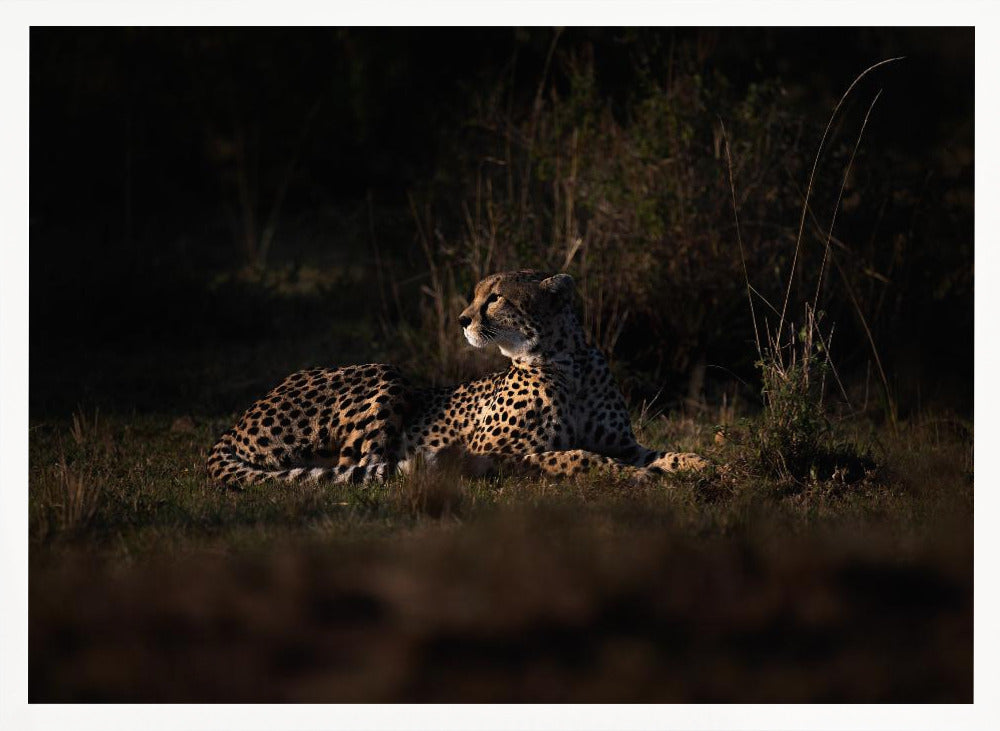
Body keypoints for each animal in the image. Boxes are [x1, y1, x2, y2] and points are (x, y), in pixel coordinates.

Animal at [206, 270, 708, 487]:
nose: (463, 319)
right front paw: (633, 477)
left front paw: (704, 466)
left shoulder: (623, 441)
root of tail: (237, 421)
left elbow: (662, 452)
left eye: (496, 297)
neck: (568, 363)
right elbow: (576, 455)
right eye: (476, 295)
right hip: (384, 371)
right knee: (359, 466)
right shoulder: (493, 451)